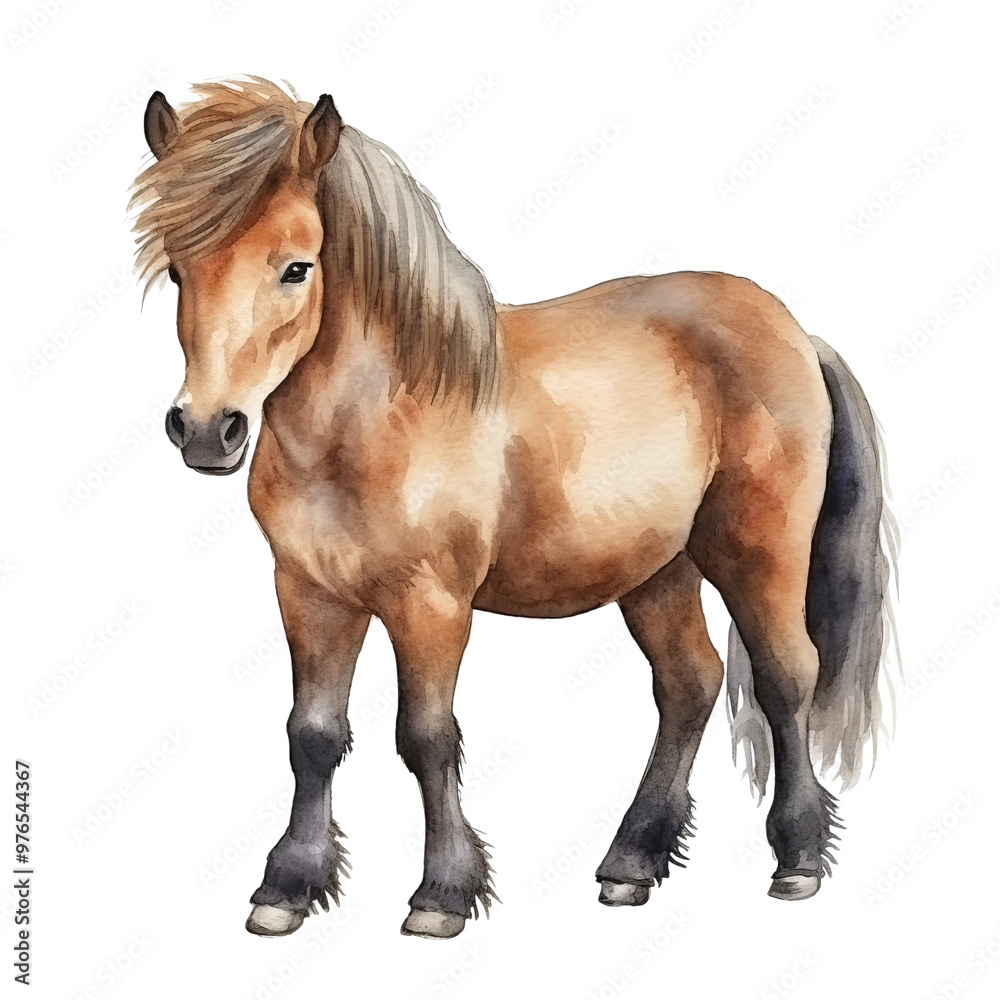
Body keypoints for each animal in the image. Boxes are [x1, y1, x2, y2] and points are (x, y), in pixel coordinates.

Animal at [131, 78, 898, 940]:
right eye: (177, 273)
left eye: (297, 267)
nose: (206, 429)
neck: (381, 414)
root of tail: (796, 333)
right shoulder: (310, 594)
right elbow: (313, 735)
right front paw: (288, 888)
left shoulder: (431, 604)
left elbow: (426, 737)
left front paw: (441, 895)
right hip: (656, 570)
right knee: (689, 684)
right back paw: (631, 863)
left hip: (758, 549)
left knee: (785, 677)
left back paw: (797, 861)